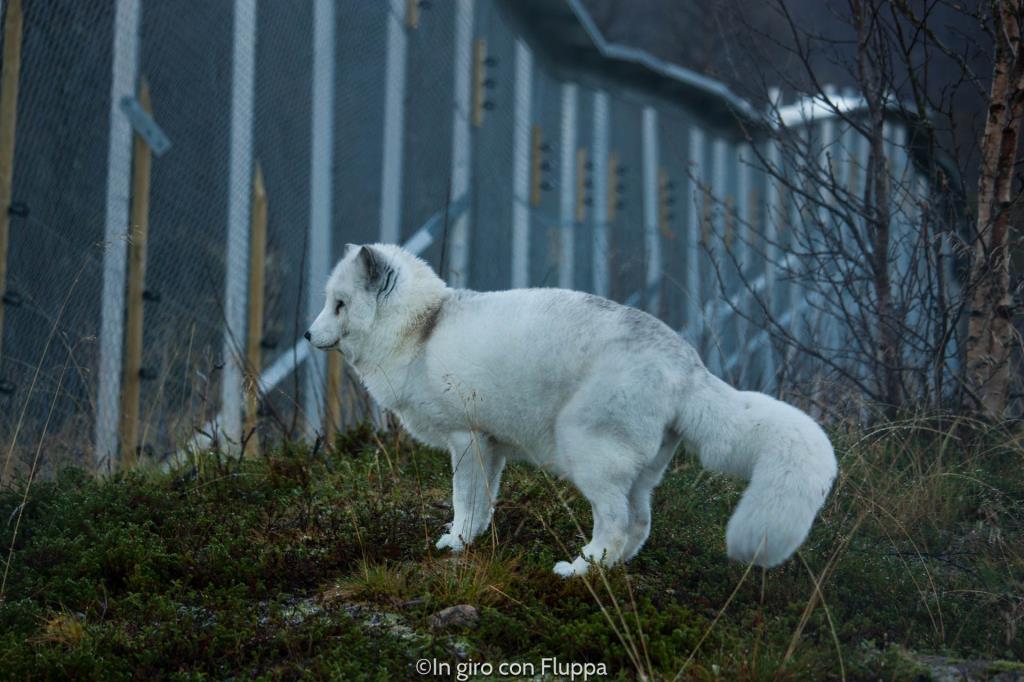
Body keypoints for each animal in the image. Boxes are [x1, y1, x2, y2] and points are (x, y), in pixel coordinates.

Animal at [305, 243, 837, 577]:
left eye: (339, 304)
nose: (308, 335)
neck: (421, 328)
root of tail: (688, 365)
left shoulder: (466, 438)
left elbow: (464, 500)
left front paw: (455, 543)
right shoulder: (492, 446)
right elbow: (484, 504)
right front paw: (473, 541)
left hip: (588, 455)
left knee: (617, 522)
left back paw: (580, 569)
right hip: (638, 472)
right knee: (640, 523)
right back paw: (609, 568)